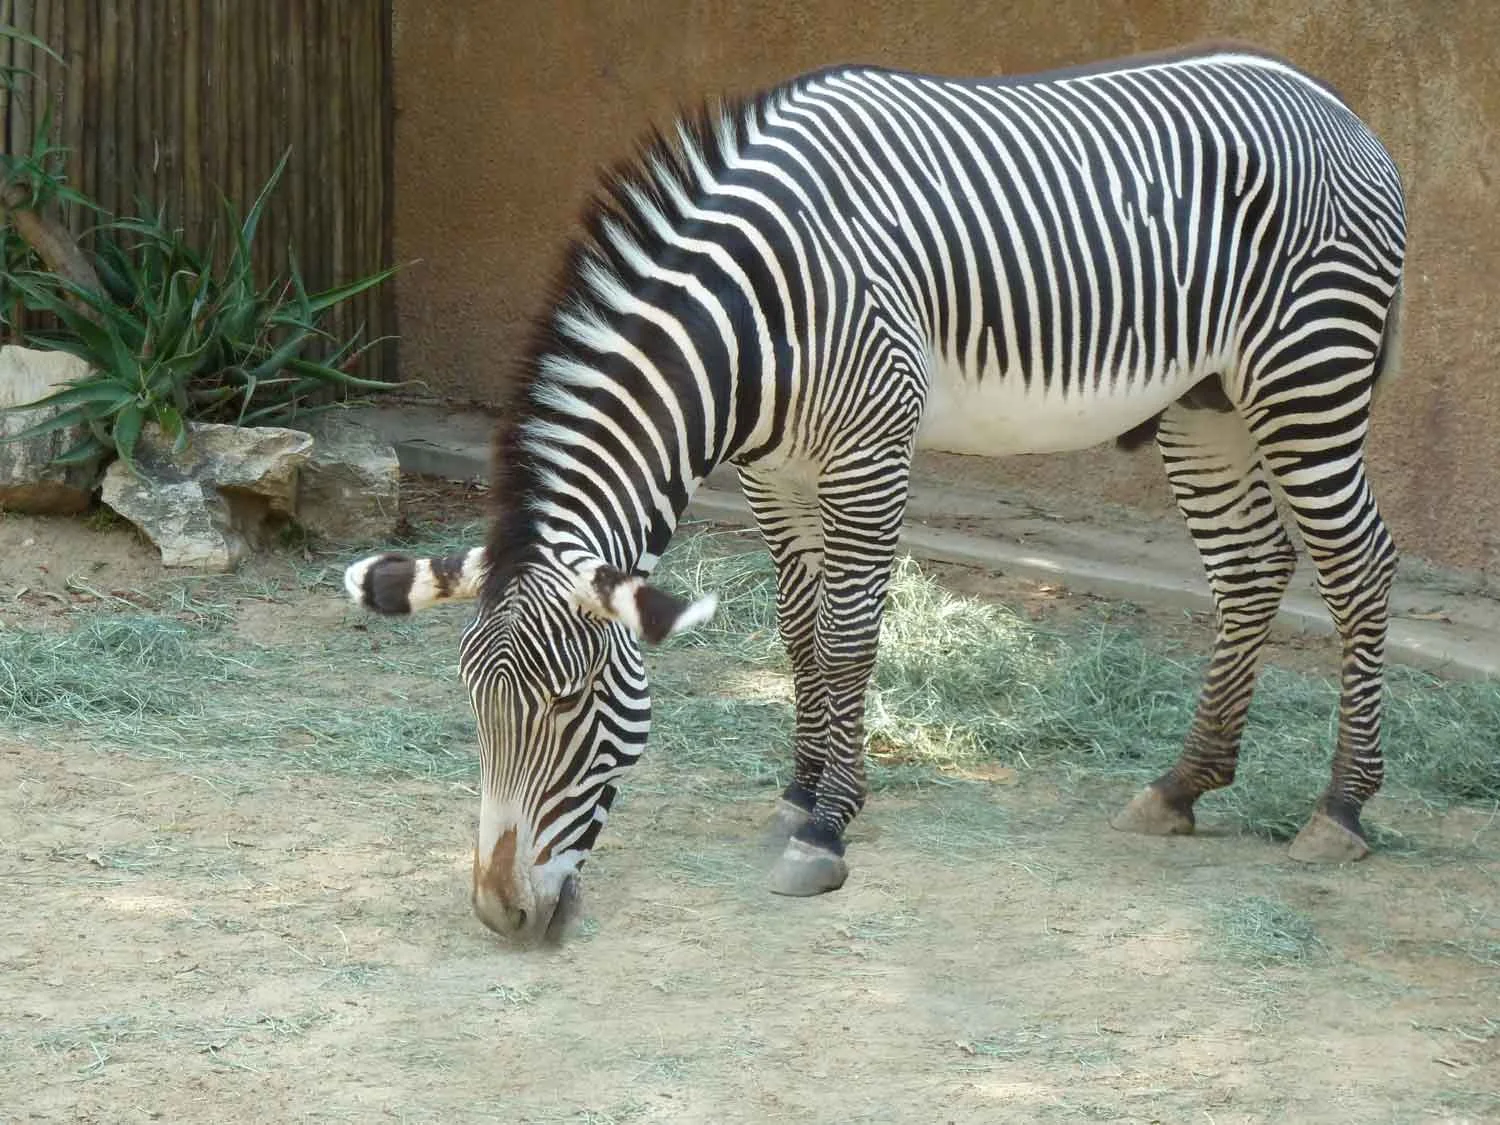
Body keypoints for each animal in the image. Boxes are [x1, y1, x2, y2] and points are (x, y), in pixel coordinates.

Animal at [344, 41, 1407, 941]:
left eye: (569, 704)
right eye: (473, 705)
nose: (499, 914)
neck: (755, 316)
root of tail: (1334, 104)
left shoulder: (871, 454)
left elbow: (851, 636)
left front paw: (828, 828)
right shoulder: (775, 474)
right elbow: (799, 633)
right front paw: (800, 789)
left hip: (1308, 373)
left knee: (1358, 564)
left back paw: (1343, 807)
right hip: (1207, 400)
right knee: (1251, 569)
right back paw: (1185, 783)